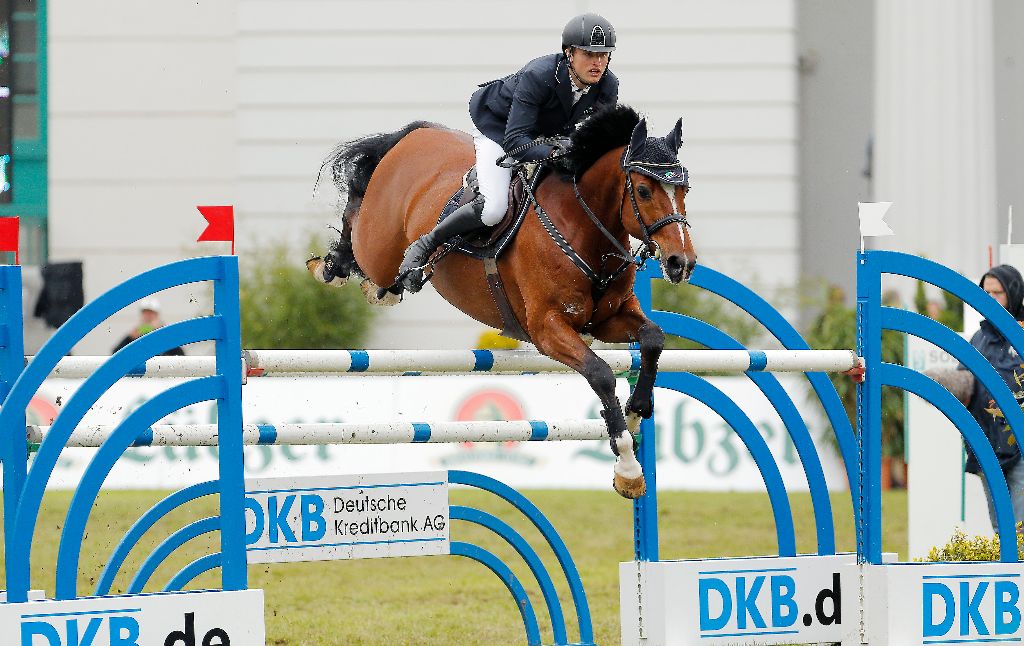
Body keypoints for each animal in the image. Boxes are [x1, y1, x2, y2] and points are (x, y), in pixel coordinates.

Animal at [309, 107, 696, 499]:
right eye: (644, 191)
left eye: (684, 189)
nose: (681, 263)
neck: (582, 227)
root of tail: (416, 133)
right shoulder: (546, 329)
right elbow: (600, 374)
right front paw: (628, 467)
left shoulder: (607, 320)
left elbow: (653, 338)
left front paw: (636, 410)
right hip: (377, 243)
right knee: (356, 219)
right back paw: (334, 266)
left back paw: (382, 285)